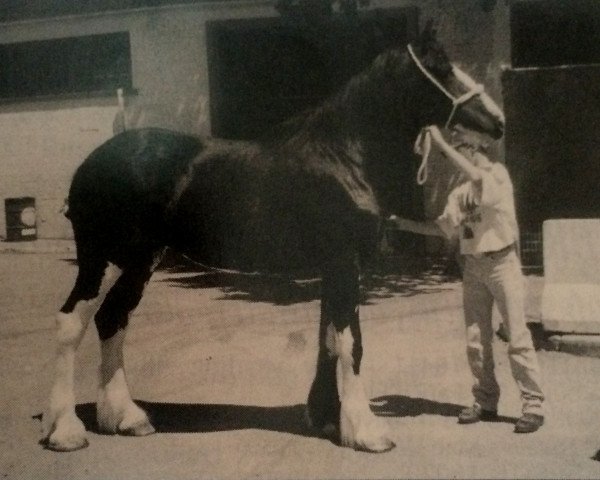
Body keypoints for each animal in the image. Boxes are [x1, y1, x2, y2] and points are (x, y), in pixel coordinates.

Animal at [41, 26, 506, 454]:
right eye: (442, 67)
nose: (498, 121)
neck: (344, 156)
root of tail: (91, 163)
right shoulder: (345, 261)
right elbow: (350, 341)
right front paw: (366, 432)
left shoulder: (334, 266)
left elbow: (328, 337)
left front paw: (325, 418)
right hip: (101, 258)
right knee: (70, 322)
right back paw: (65, 431)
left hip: (141, 260)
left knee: (112, 319)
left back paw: (126, 418)